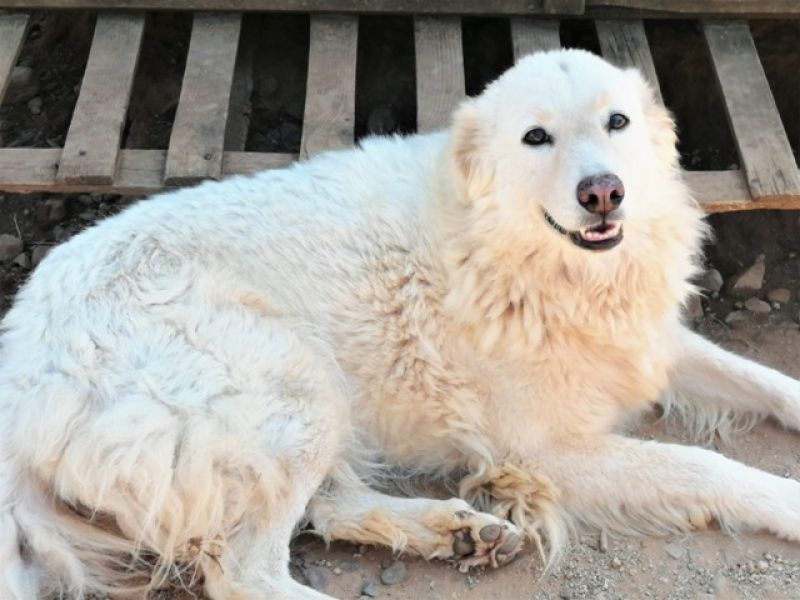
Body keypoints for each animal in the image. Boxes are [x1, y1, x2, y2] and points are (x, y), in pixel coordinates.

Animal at [1, 49, 800, 596]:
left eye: (618, 122)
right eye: (536, 138)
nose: (603, 191)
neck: (527, 259)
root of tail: (22, 355)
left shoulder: (652, 343)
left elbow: (769, 381)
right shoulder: (544, 449)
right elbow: (707, 467)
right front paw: (788, 504)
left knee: (327, 507)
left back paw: (459, 532)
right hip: (294, 386)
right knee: (244, 571)